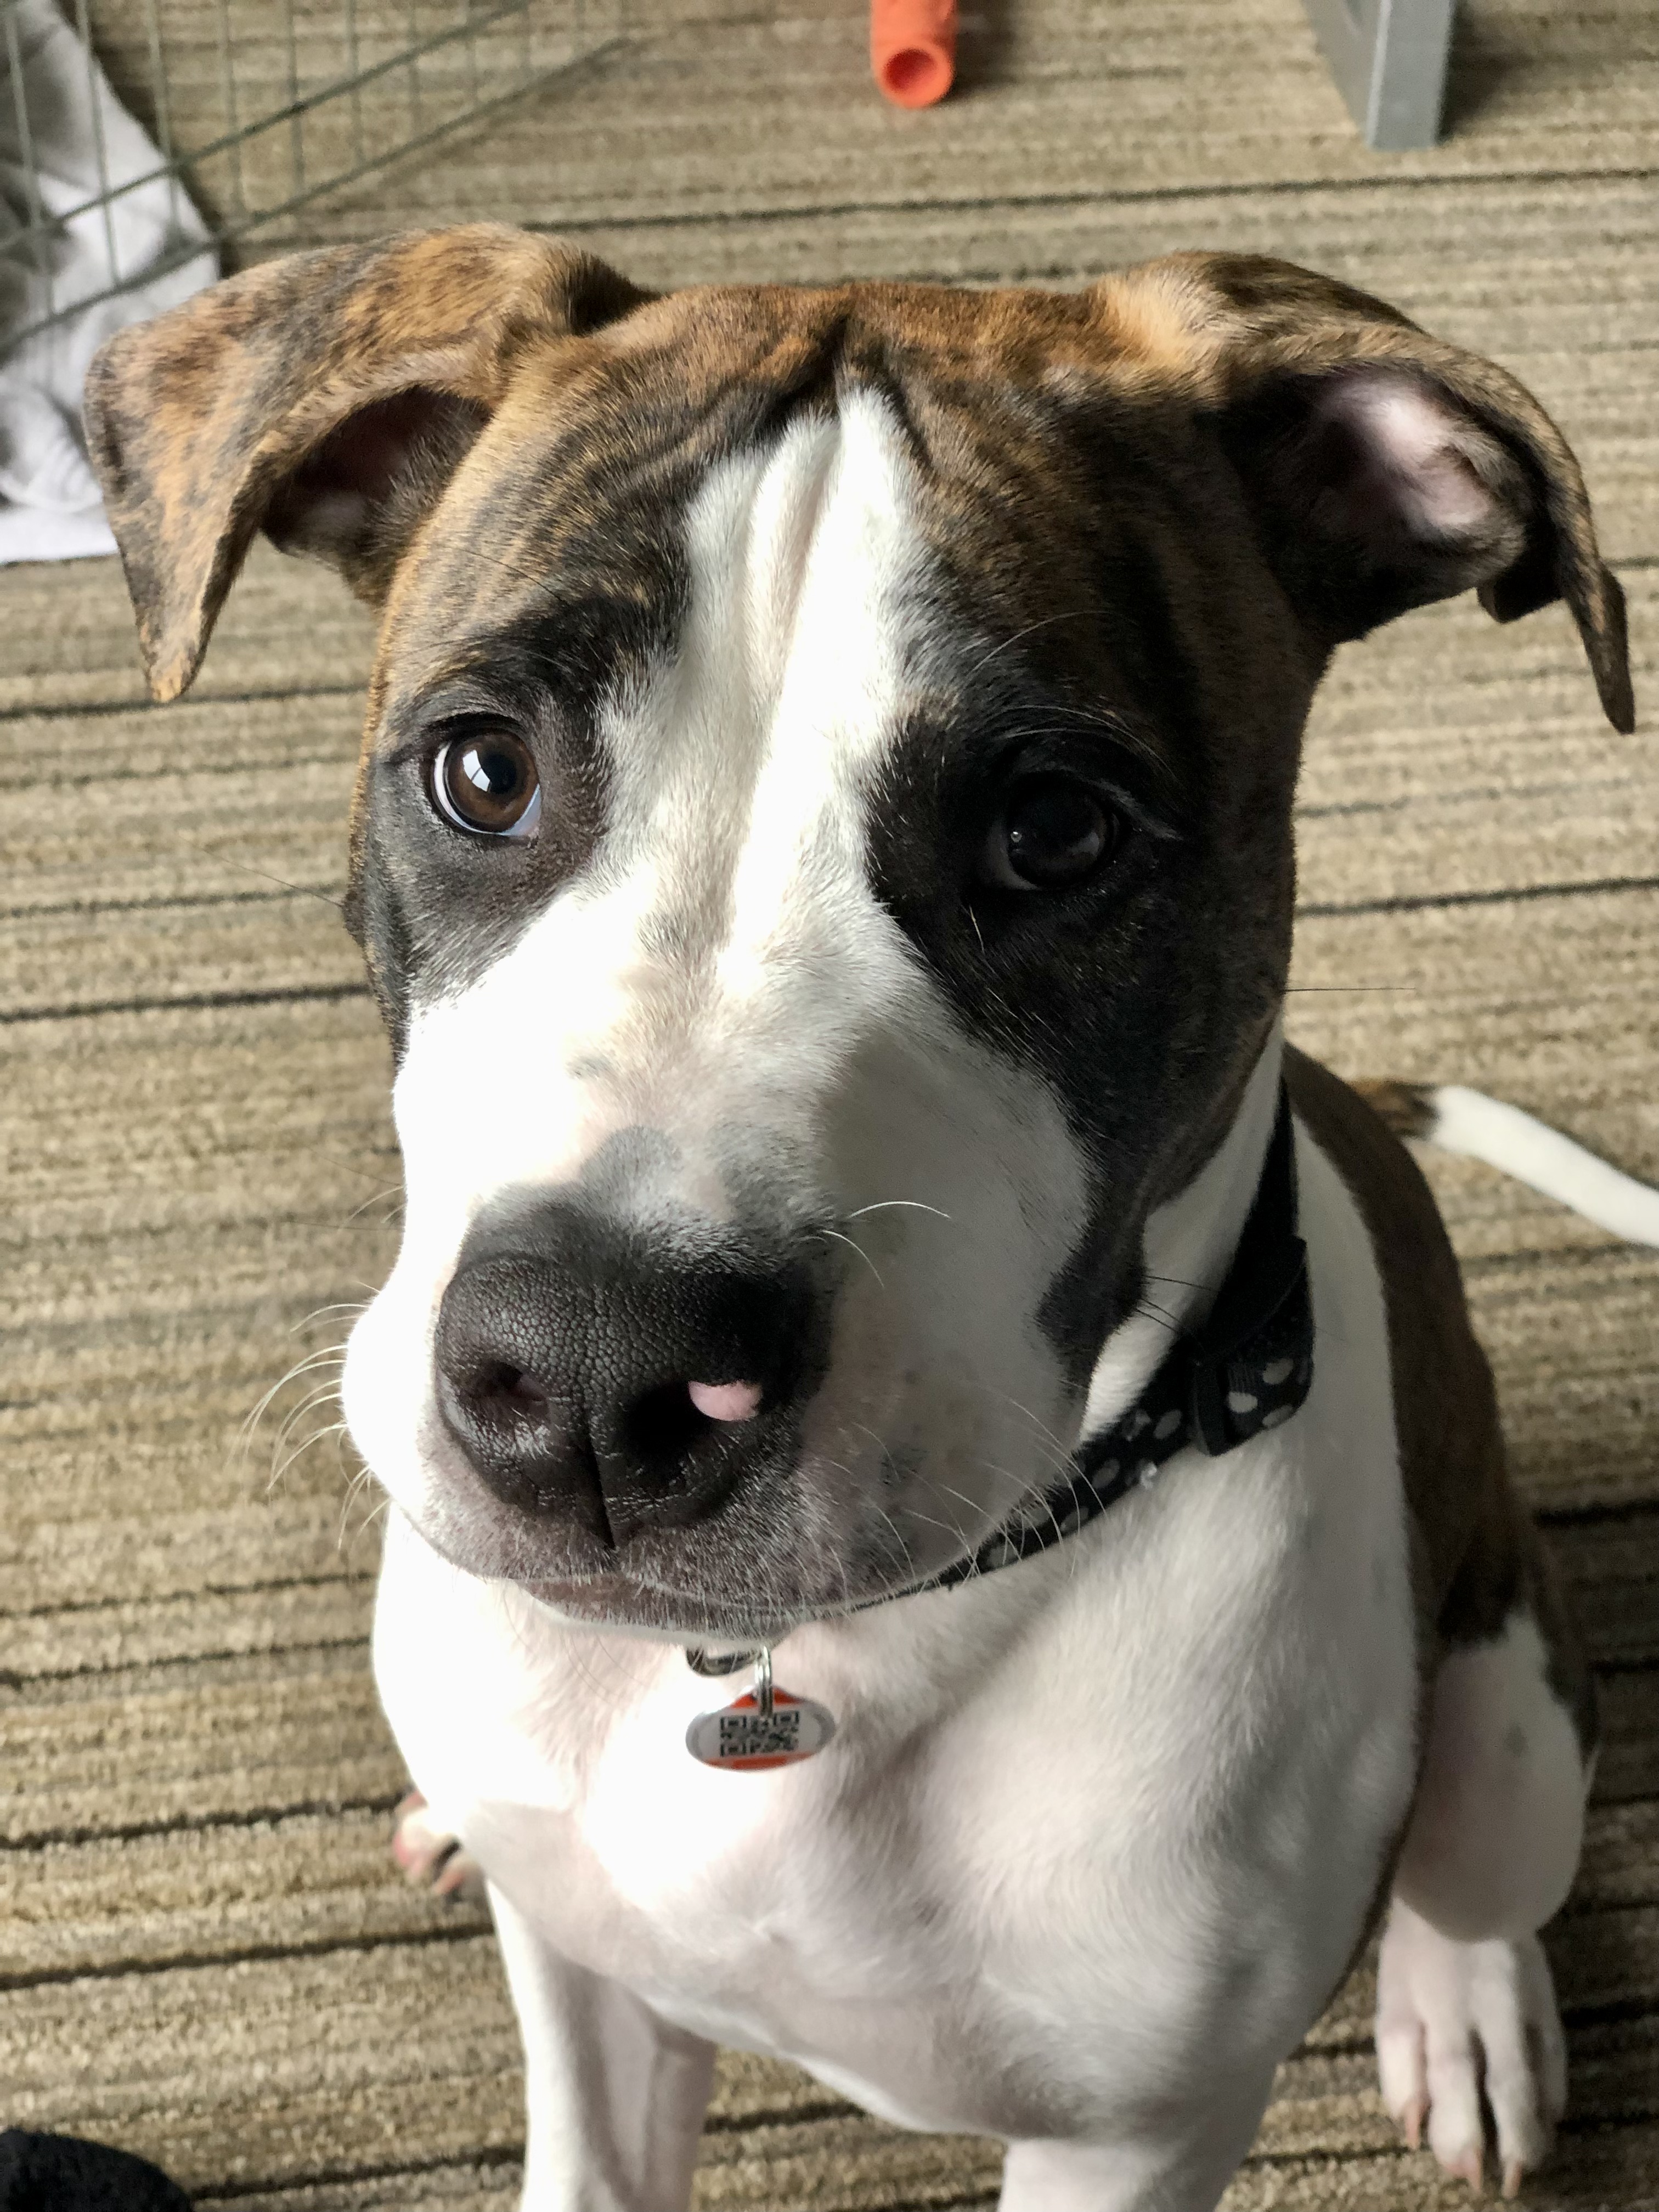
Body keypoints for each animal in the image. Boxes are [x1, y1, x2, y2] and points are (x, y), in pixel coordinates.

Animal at [85, 227, 1645, 2210]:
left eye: (1054, 829)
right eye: (482, 771)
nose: (597, 1381)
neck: (793, 1675)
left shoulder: (1135, 2139)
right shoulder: (589, 1998)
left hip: (1515, 1717)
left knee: (1475, 1868)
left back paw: (1463, 2007)